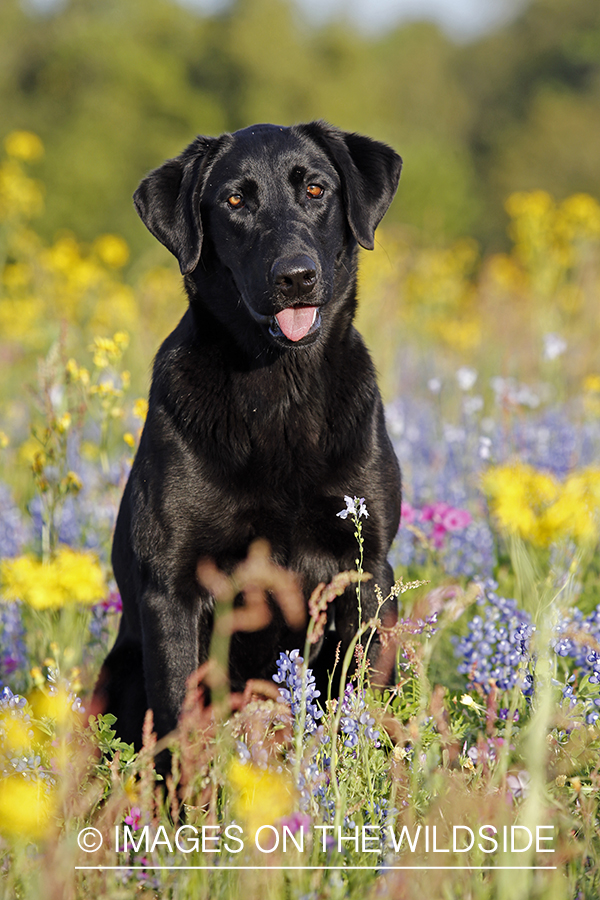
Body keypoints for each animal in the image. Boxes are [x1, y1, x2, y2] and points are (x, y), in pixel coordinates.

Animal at [95, 121, 404, 752]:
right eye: (236, 201)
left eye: (316, 189)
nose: (295, 276)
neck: (277, 391)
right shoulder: (173, 586)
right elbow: (180, 717)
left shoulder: (364, 572)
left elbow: (360, 696)